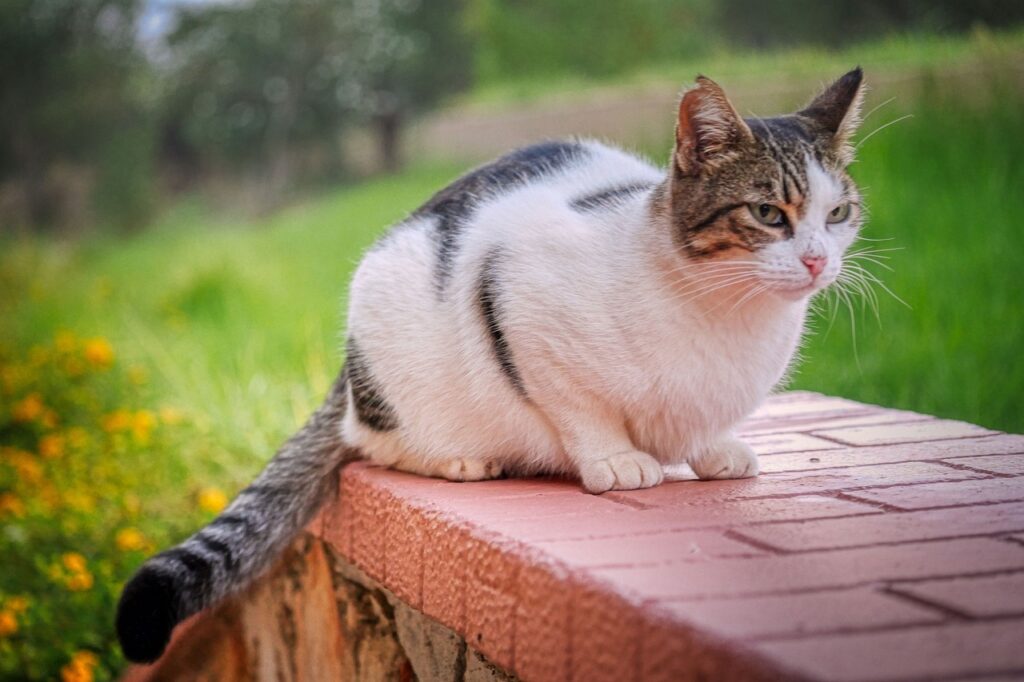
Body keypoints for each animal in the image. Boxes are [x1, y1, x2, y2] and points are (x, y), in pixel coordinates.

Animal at [117, 67, 864, 659]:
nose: (817, 261)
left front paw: (712, 448)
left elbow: (703, 426)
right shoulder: (518, 301)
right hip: (390, 335)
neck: (726, 316)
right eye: (767, 212)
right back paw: (459, 460)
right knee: (371, 439)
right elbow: (579, 409)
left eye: (839, 213)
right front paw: (617, 460)